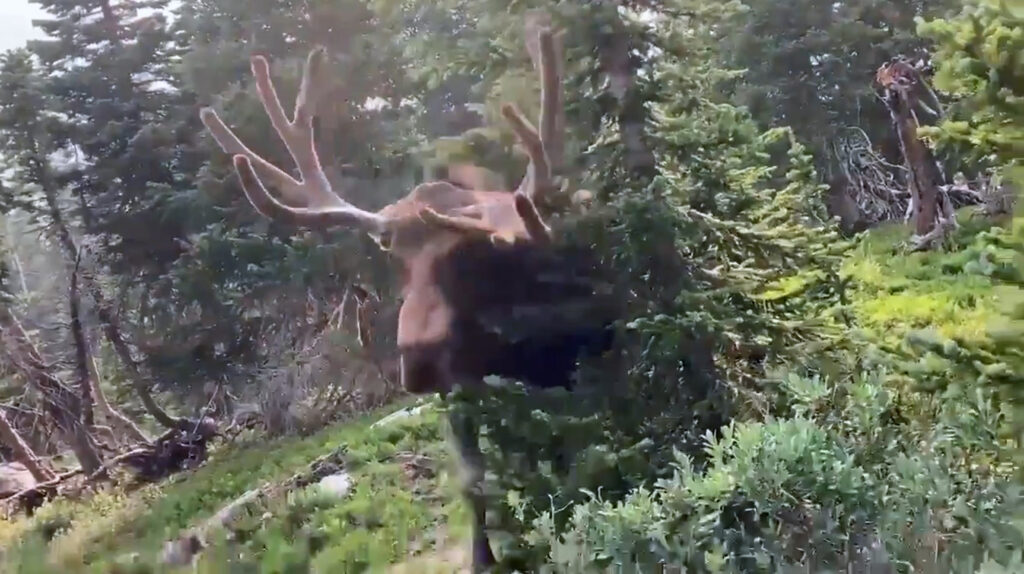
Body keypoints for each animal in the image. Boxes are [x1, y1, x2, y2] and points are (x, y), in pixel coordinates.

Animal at [198, 17, 617, 572]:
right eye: (395, 256)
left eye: (467, 254)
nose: (416, 358)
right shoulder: (460, 386)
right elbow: (474, 479)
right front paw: (485, 557)